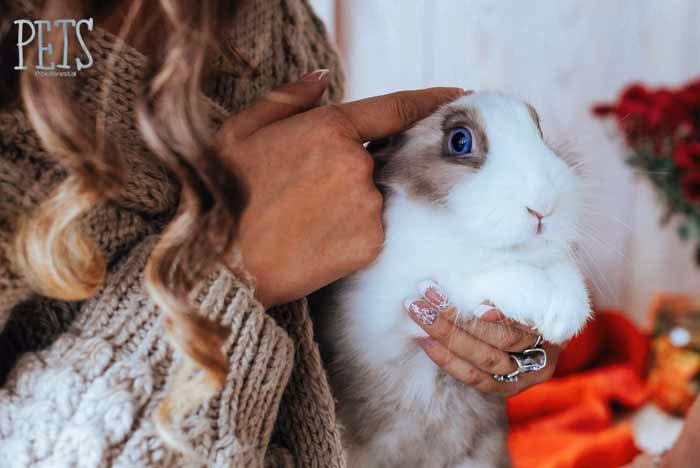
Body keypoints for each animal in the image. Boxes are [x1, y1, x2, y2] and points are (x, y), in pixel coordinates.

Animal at [310, 91, 591, 468]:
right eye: (460, 141)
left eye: (539, 131)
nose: (544, 206)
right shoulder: (390, 304)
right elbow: (470, 276)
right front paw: (541, 302)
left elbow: (560, 267)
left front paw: (567, 315)